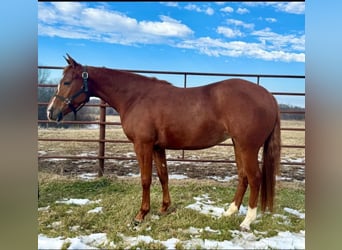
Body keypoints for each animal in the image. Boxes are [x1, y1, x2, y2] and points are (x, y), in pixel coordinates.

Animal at [46, 55, 280, 230]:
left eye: (67, 82)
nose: (50, 112)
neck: (135, 97)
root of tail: (268, 95)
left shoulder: (143, 145)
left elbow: (145, 179)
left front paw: (141, 215)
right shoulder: (158, 147)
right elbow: (163, 176)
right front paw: (164, 208)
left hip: (248, 147)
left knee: (255, 178)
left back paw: (247, 221)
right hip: (237, 145)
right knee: (243, 177)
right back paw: (229, 212)